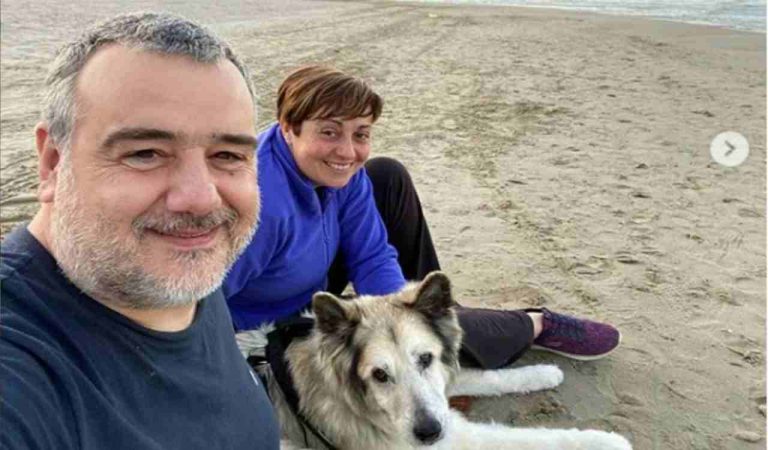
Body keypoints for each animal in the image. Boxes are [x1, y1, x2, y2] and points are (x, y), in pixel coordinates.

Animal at [266, 272, 632, 450]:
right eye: (379, 375)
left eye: (425, 358)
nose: (429, 433)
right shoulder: (453, 439)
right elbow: (533, 439)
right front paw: (606, 441)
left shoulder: (443, 386)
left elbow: (486, 376)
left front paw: (544, 372)